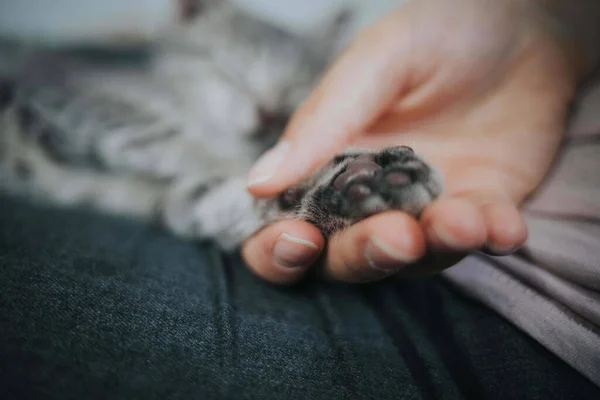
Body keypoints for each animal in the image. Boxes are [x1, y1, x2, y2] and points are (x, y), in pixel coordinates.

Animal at [0, 0, 442, 250]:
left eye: (295, 88)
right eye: (234, 70)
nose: (267, 113)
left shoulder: (161, 200)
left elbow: (212, 198)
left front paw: (351, 183)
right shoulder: (68, 92)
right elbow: (160, 134)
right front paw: (241, 164)